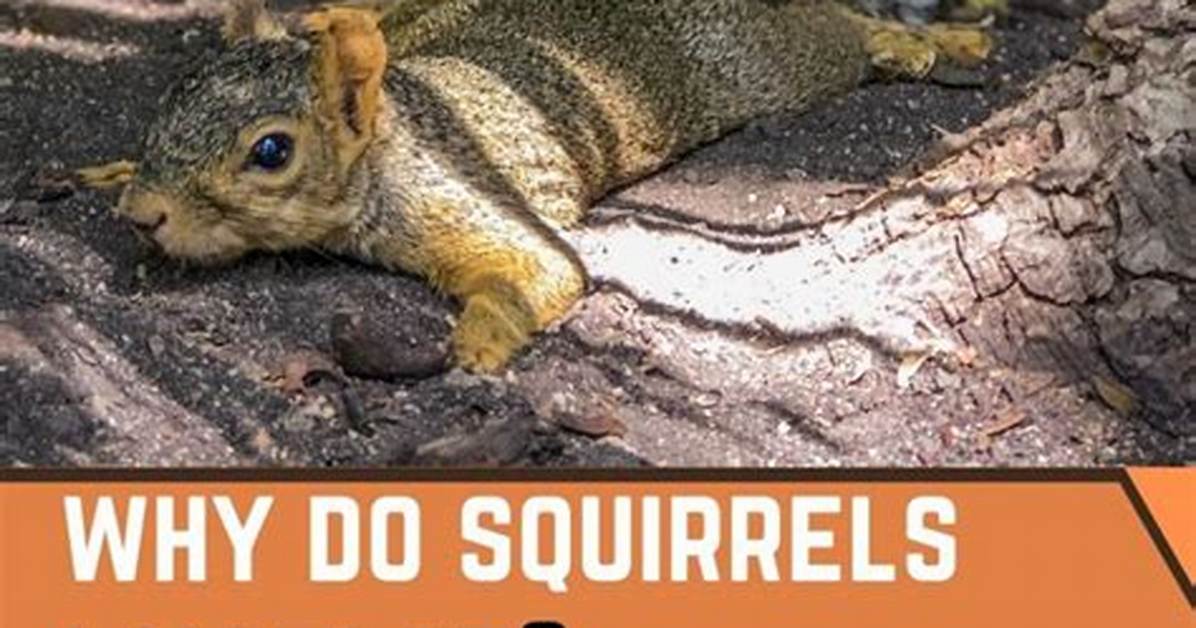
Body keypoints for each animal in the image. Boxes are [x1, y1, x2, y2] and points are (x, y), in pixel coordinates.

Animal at [105, 0, 989, 372]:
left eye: (271, 151)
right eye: (169, 101)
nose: (146, 215)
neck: (392, 141)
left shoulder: (466, 199)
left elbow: (541, 269)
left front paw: (483, 338)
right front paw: (114, 168)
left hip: (787, 59)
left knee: (846, 28)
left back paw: (922, 41)